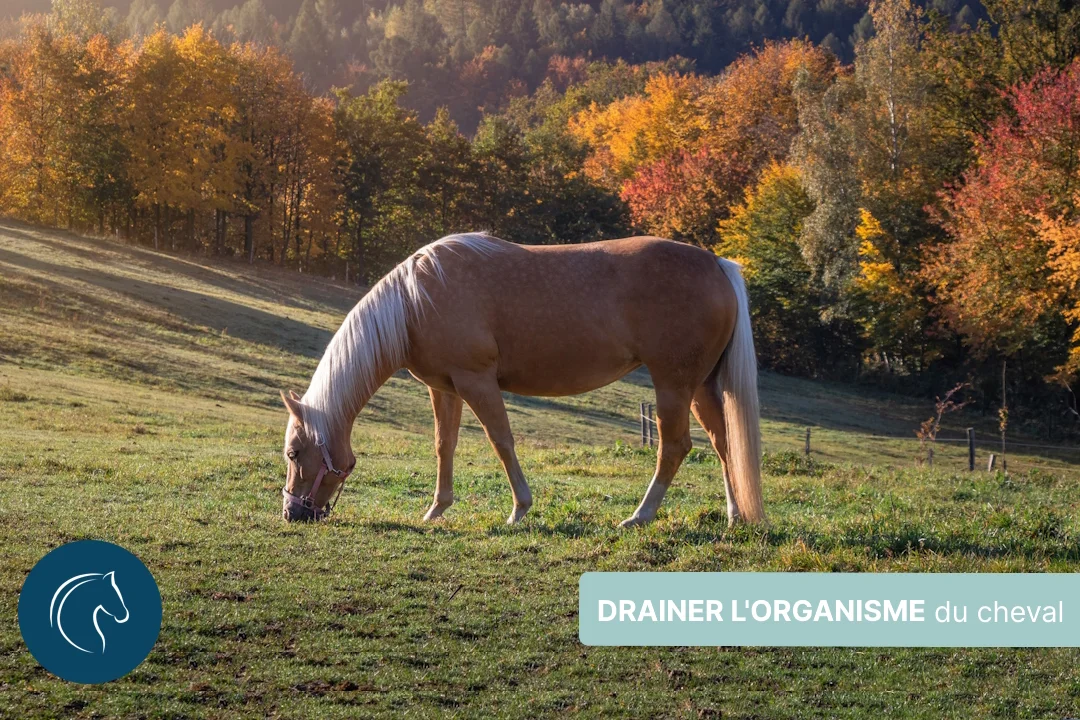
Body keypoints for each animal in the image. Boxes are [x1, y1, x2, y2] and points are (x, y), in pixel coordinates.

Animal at [280, 233, 764, 528]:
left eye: (294, 452)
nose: (292, 512)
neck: (416, 301)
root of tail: (717, 264)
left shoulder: (477, 382)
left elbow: (501, 441)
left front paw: (519, 510)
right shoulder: (445, 388)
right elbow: (444, 445)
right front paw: (436, 509)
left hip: (672, 385)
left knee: (674, 447)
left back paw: (639, 516)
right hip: (701, 387)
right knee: (723, 444)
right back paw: (734, 515)